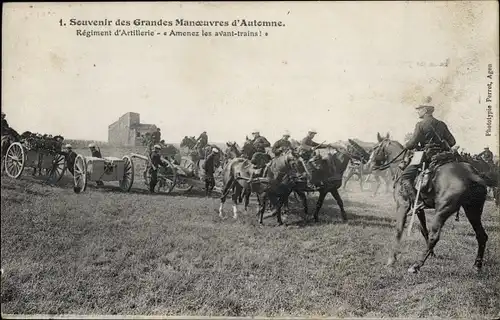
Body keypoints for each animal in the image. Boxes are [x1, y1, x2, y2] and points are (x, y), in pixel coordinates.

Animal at [372, 135, 488, 272]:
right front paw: (432, 253)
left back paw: (416, 265)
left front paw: (391, 259)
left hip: (442, 211)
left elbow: (398, 230)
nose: (371, 164)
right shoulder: (418, 209)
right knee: (481, 235)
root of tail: (472, 176)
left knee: (435, 236)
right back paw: (477, 265)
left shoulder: (402, 206)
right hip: (473, 211)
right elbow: (424, 230)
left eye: (375, 148)